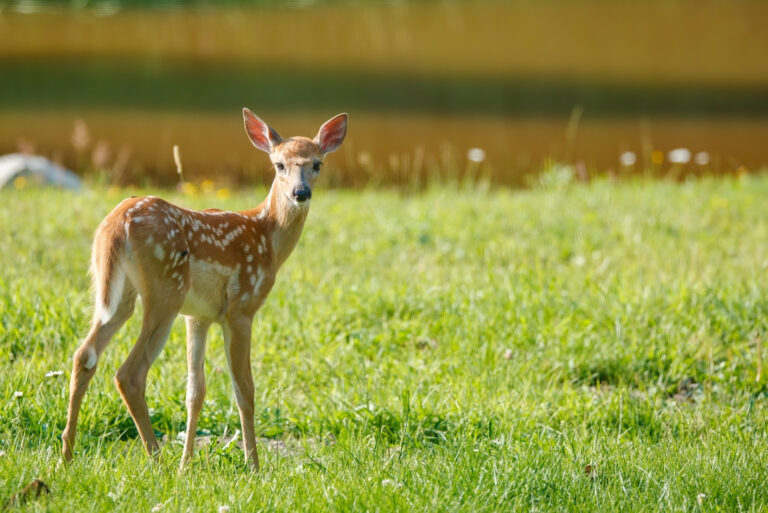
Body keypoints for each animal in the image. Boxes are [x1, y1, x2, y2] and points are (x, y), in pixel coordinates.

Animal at [61, 109, 348, 470]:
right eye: (279, 165)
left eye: (317, 164)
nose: (301, 193)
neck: (267, 238)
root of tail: (115, 225)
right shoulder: (240, 309)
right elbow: (244, 390)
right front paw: (253, 466)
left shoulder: (199, 317)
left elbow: (195, 391)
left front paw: (187, 464)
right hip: (165, 293)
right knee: (129, 373)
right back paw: (157, 459)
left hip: (117, 291)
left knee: (84, 355)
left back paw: (67, 454)